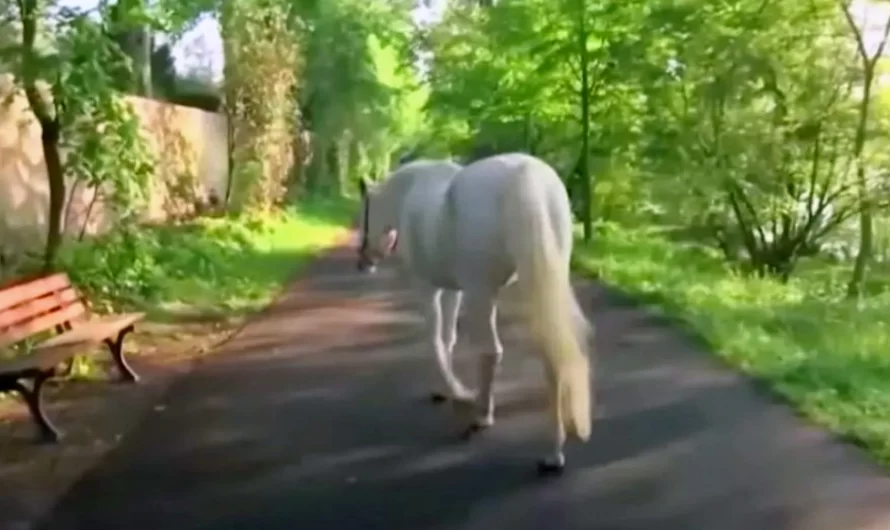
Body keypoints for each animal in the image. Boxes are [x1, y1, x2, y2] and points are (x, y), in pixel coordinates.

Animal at [354, 151, 588, 472]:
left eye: (362, 216)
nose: (362, 263)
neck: (408, 194)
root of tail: (526, 176)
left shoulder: (427, 287)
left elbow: (435, 339)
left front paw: (455, 390)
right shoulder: (454, 289)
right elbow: (448, 337)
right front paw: (447, 388)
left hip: (483, 293)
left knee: (491, 351)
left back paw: (483, 416)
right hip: (536, 285)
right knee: (551, 355)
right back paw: (554, 453)